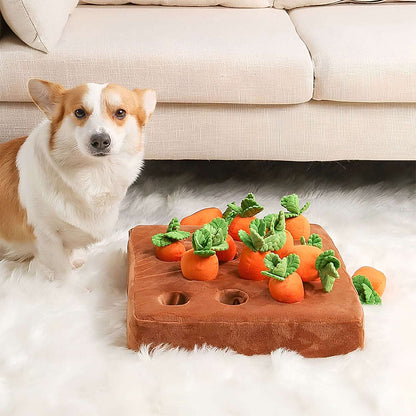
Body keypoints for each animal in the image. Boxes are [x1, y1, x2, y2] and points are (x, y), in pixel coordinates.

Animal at [0, 79, 156, 280]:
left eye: (120, 112)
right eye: (79, 112)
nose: (100, 140)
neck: (94, 173)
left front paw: (75, 262)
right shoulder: (46, 235)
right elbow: (62, 270)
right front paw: (67, 284)